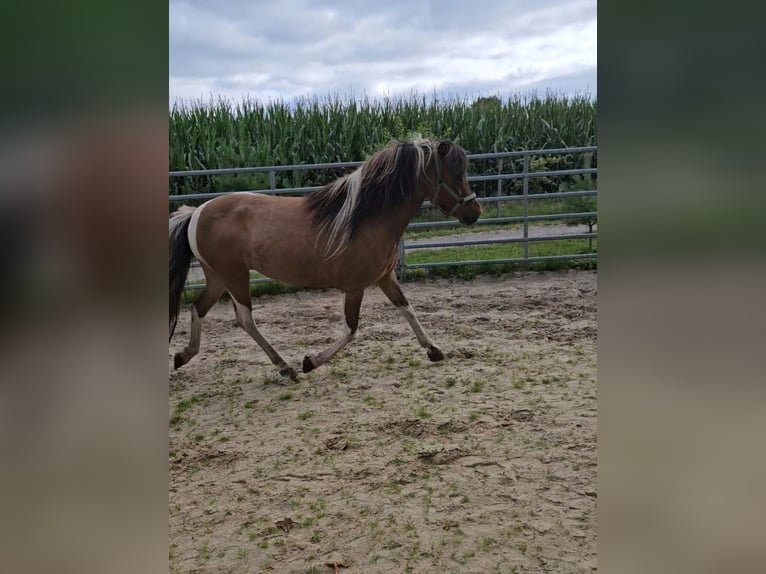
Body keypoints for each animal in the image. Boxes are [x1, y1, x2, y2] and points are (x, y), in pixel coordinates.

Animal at [169, 137, 482, 381]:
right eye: (456, 175)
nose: (475, 213)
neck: (366, 218)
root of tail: (196, 212)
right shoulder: (354, 287)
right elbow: (351, 329)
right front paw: (311, 362)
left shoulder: (385, 277)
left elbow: (408, 310)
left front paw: (434, 350)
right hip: (234, 275)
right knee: (245, 319)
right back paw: (286, 368)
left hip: (218, 276)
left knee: (198, 309)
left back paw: (184, 355)